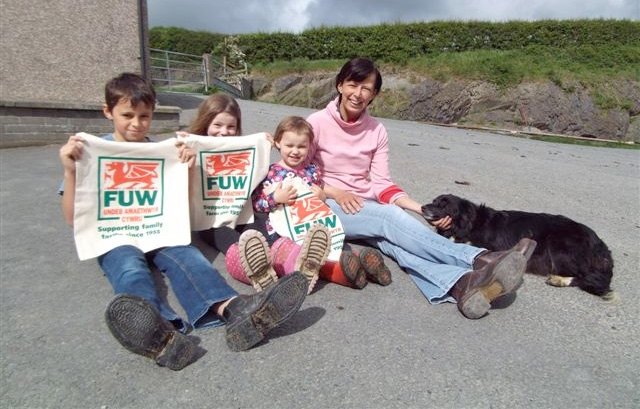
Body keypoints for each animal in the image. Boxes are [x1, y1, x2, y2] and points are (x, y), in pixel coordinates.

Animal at [420, 193, 616, 298]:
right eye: (434, 201)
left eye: (444, 205)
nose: (422, 207)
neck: (471, 223)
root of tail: (600, 245)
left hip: (559, 245)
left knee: (595, 281)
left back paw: (559, 279)